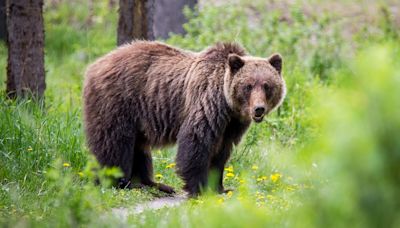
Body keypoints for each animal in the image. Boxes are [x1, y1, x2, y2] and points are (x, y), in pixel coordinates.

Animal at [83, 40, 286, 196]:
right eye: (248, 86)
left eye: (267, 85)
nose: (258, 109)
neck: (228, 106)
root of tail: (94, 65)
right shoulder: (206, 104)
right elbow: (196, 143)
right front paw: (199, 188)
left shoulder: (231, 125)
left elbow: (221, 153)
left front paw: (221, 188)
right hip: (118, 102)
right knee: (115, 143)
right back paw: (118, 182)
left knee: (139, 148)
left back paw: (154, 184)